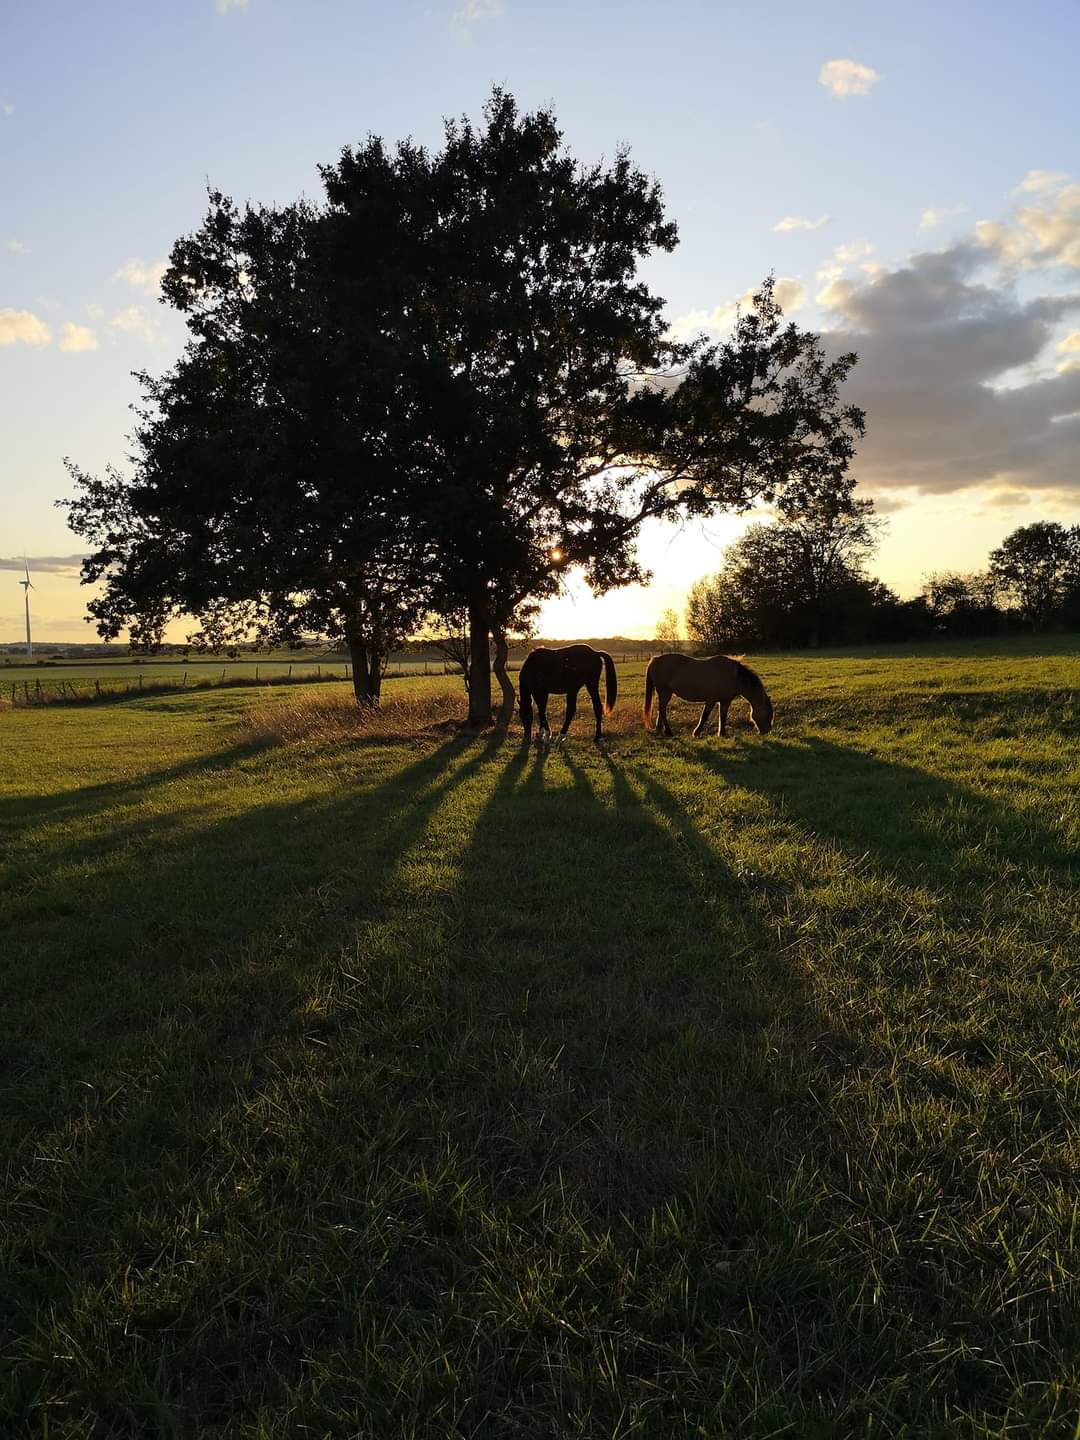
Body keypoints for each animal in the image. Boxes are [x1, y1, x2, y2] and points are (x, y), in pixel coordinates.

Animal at [643, 652, 773, 737]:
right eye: (768, 714)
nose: (767, 732)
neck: (733, 676)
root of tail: (655, 660)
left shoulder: (725, 701)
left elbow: (723, 717)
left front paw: (722, 734)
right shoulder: (711, 700)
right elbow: (704, 716)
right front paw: (696, 733)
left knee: (661, 710)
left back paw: (659, 730)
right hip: (665, 692)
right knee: (662, 710)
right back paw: (668, 732)